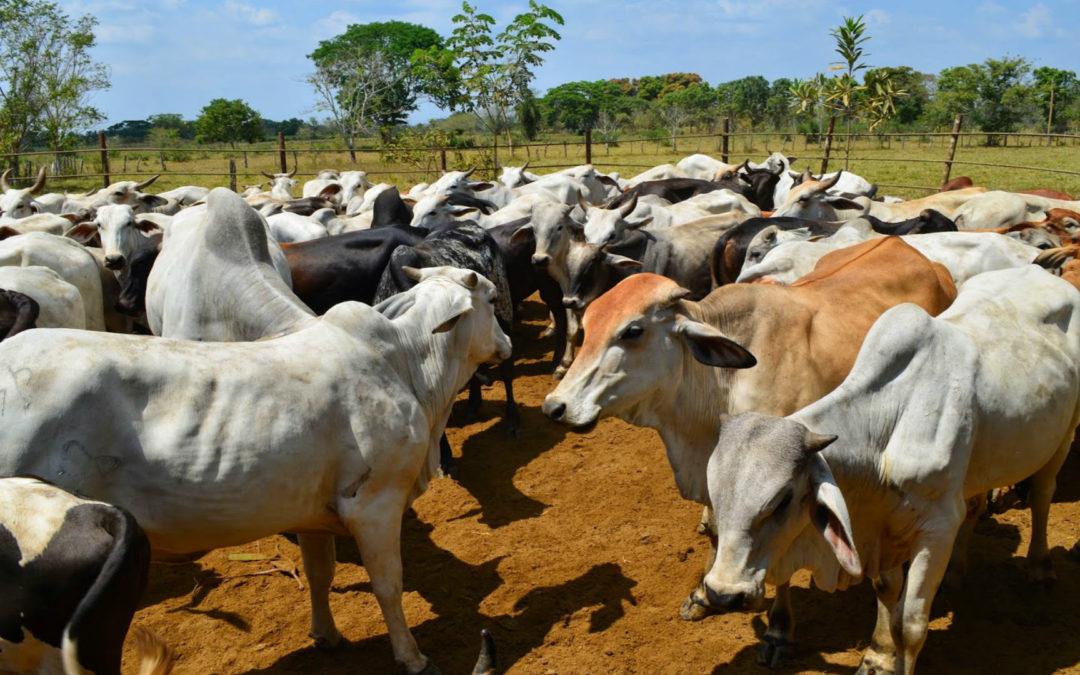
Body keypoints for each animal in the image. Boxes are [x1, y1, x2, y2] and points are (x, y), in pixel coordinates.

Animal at [544, 235, 959, 665]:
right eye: (588, 324)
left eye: (632, 330)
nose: (555, 406)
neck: (718, 383)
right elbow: (717, 529)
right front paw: (702, 594)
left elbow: (780, 562)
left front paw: (778, 630)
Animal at [691, 265, 1080, 673]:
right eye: (714, 494)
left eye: (781, 501)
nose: (722, 593)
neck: (887, 431)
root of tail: (1041, 271)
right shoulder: (883, 526)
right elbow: (886, 592)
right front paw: (879, 655)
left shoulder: (938, 528)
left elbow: (909, 625)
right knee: (976, 506)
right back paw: (958, 571)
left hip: (1064, 433)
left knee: (1042, 495)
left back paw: (1040, 566)